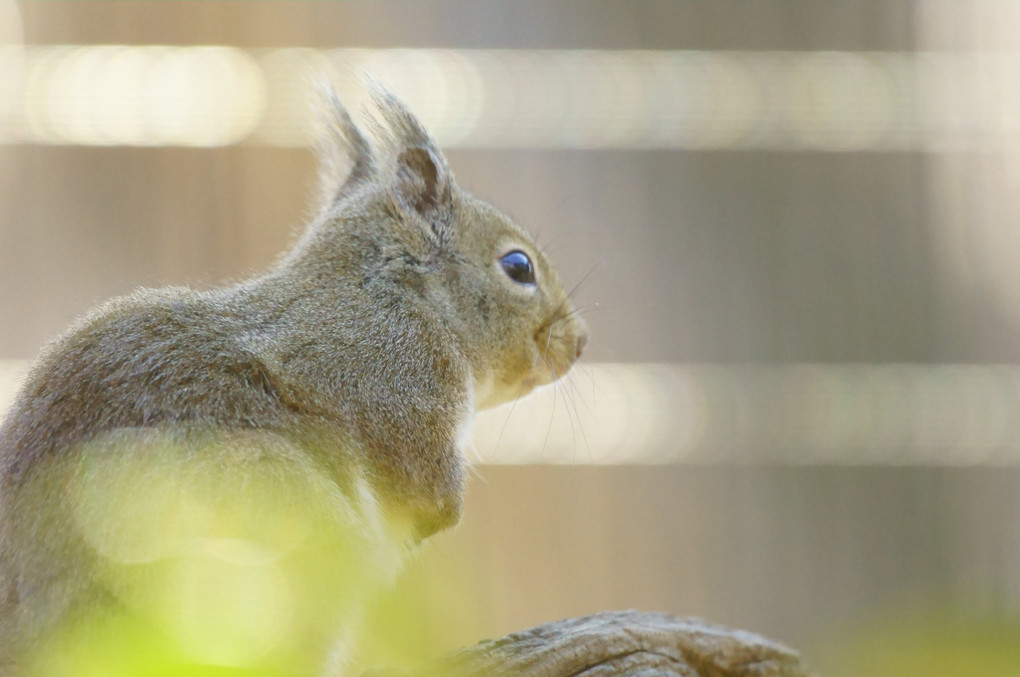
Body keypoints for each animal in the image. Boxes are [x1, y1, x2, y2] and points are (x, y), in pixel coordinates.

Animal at [0, 86, 591, 677]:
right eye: (518, 266)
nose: (579, 342)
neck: (391, 289)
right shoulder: (400, 372)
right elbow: (425, 482)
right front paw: (441, 514)